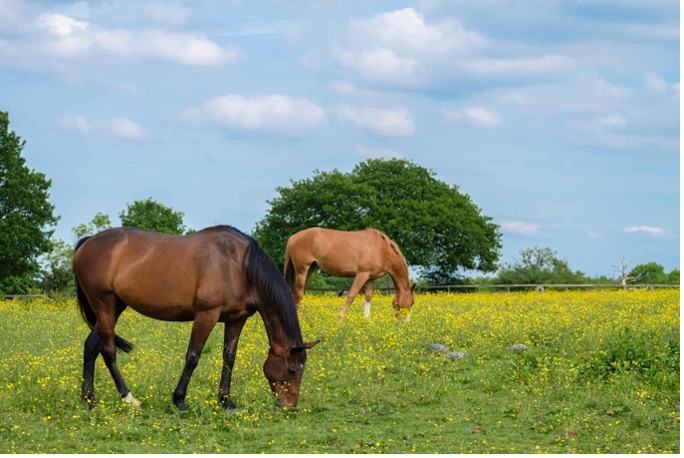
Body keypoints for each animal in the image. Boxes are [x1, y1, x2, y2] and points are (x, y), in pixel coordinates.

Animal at [73, 225, 318, 412]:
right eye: (292, 370)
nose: (289, 405)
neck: (239, 265)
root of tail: (87, 243)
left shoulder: (236, 319)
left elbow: (229, 358)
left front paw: (227, 402)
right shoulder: (207, 315)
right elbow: (193, 356)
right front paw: (180, 401)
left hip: (114, 307)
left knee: (91, 346)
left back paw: (89, 400)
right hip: (105, 305)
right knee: (108, 351)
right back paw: (129, 399)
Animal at [283, 227, 416, 319]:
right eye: (412, 302)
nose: (405, 322)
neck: (381, 249)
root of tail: (292, 238)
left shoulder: (370, 278)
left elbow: (368, 297)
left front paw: (367, 321)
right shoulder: (362, 274)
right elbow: (351, 296)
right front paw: (340, 319)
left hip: (310, 269)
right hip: (302, 270)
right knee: (299, 294)